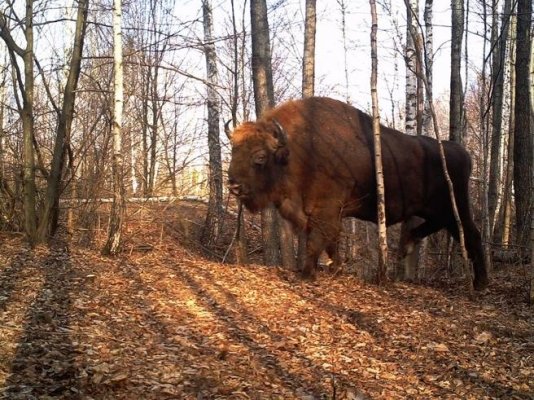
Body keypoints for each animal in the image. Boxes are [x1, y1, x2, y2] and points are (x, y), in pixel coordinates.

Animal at [226, 97, 490, 290]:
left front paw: (307, 274)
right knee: (433, 228)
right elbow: (331, 241)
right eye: (234, 150)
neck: (295, 150)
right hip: (436, 210)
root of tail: (462, 153)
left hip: (454, 207)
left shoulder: (326, 210)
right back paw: (407, 247)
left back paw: (481, 283)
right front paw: (336, 269)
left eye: (260, 157)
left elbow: (317, 241)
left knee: (471, 234)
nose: (234, 186)